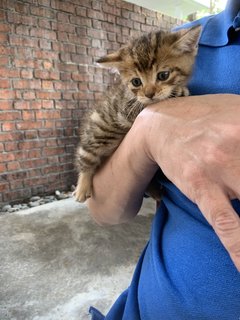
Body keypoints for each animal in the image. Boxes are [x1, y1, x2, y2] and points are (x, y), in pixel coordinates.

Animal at [74, 25, 202, 202]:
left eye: (163, 75)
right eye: (136, 82)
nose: (149, 94)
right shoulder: (128, 109)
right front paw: (179, 91)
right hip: (95, 137)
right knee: (85, 157)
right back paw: (82, 186)